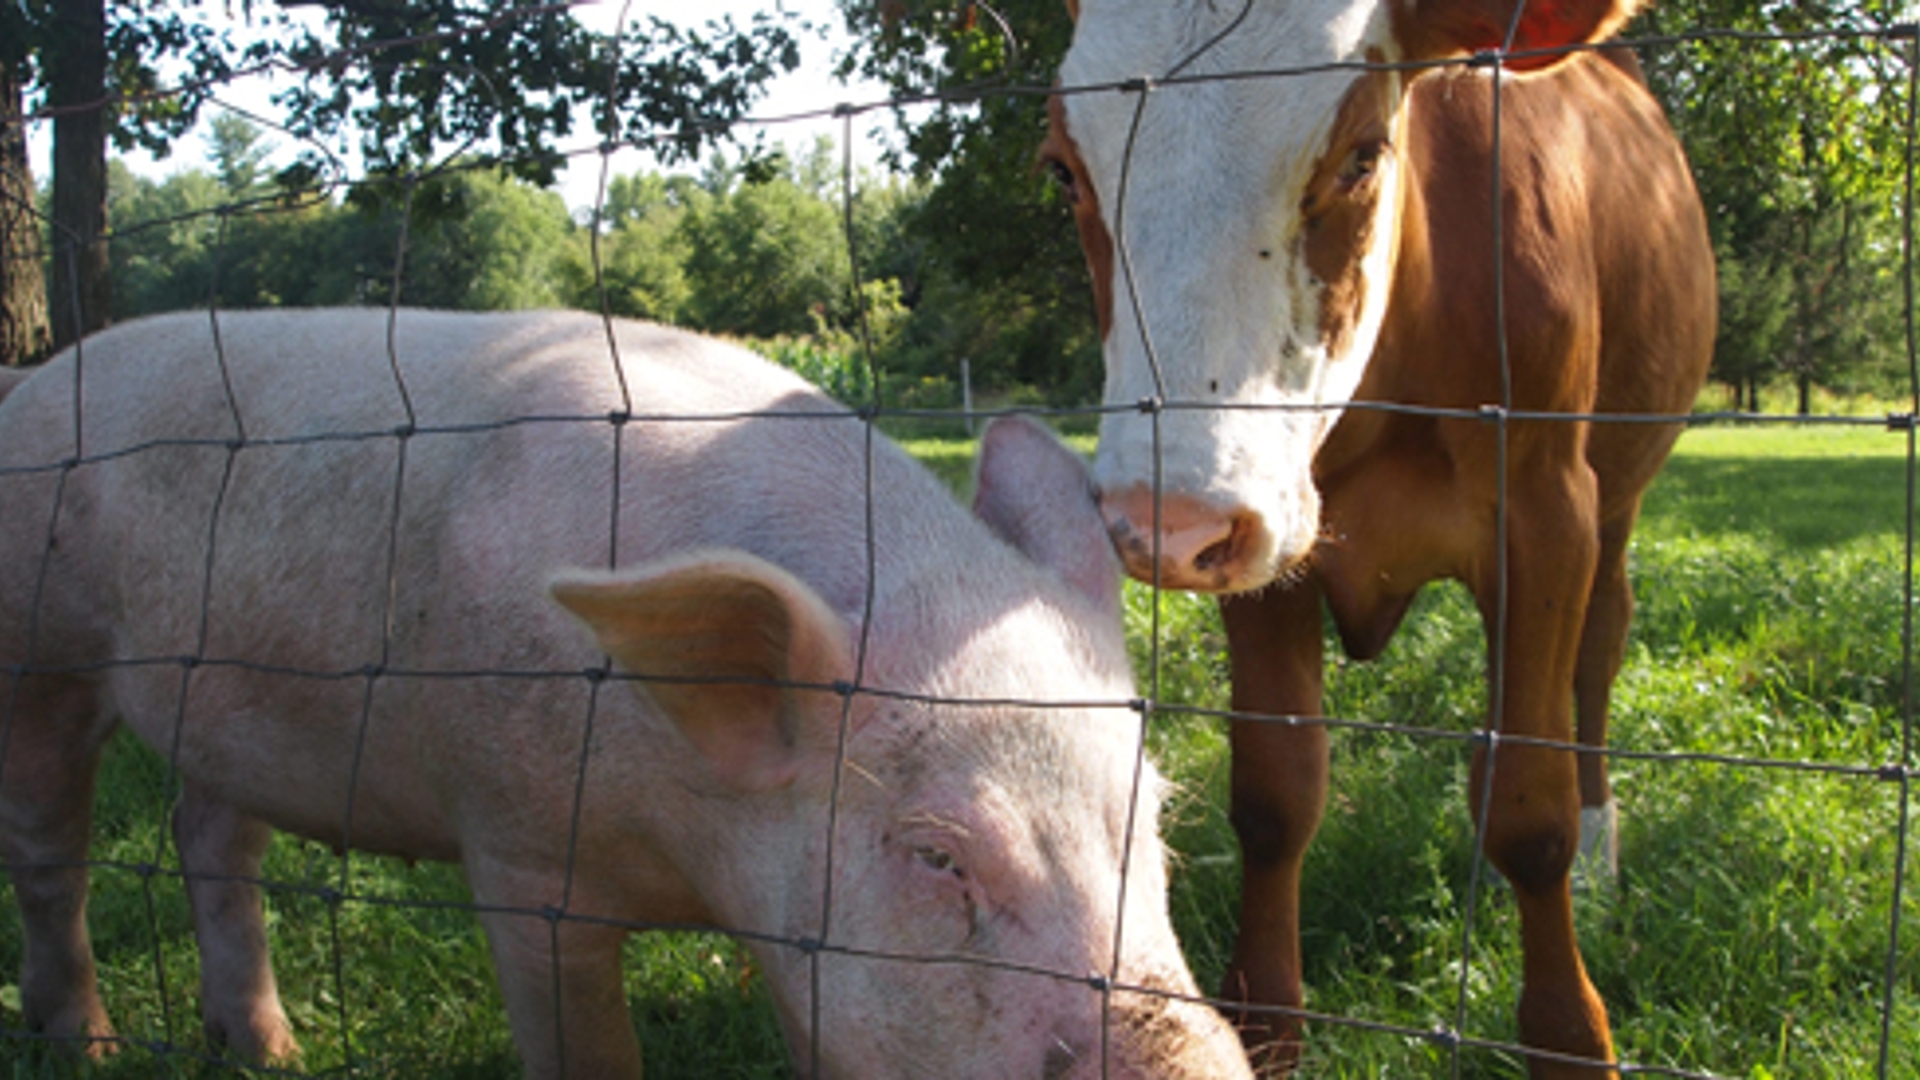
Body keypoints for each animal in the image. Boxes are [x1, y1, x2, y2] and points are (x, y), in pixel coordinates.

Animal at [0, 307, 1259, 1068]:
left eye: (1158, 821)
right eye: (937, 856)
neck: (685, 854)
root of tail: (43, 374)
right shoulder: (515, 851)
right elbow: (587, 1047)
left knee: (208, 831)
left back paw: (268, 1051)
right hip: (41, 643)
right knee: (51, 850)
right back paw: (84, 1045)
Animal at [1044, 0, 1720, 1068]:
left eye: (1364, 155)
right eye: (1065, 169)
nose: (1164, 518)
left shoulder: (1547, 516)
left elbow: (1530, 811)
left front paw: (1569, 1035)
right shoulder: (1264, 529)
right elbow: (1274, 794)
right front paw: (1265, 1030)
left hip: (1617, 498)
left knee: (1601, 646)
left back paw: (1602, 836)